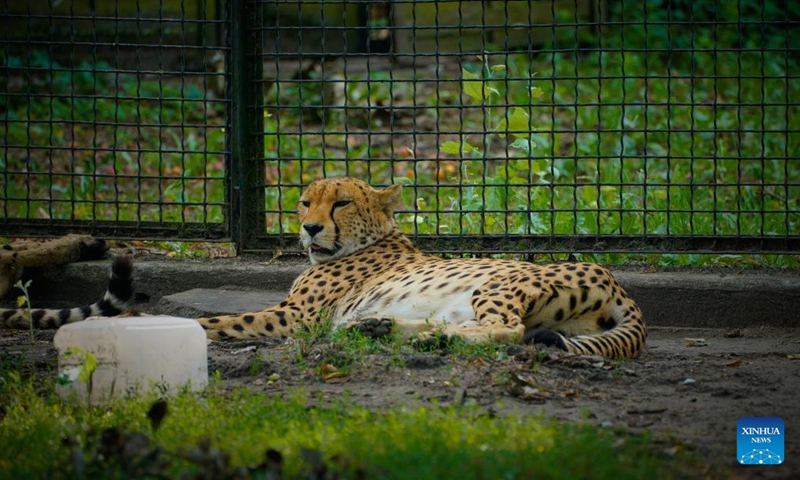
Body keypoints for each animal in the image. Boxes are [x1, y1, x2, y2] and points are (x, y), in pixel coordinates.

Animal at [198, 177, 647, 360]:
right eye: (306, 203)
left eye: (341, 203)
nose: (310, 228)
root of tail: (615, 282)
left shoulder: (298, 316)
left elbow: (222, 321)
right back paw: (382, 329)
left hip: (495, 285)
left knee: (508, 330)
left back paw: (427, 339)